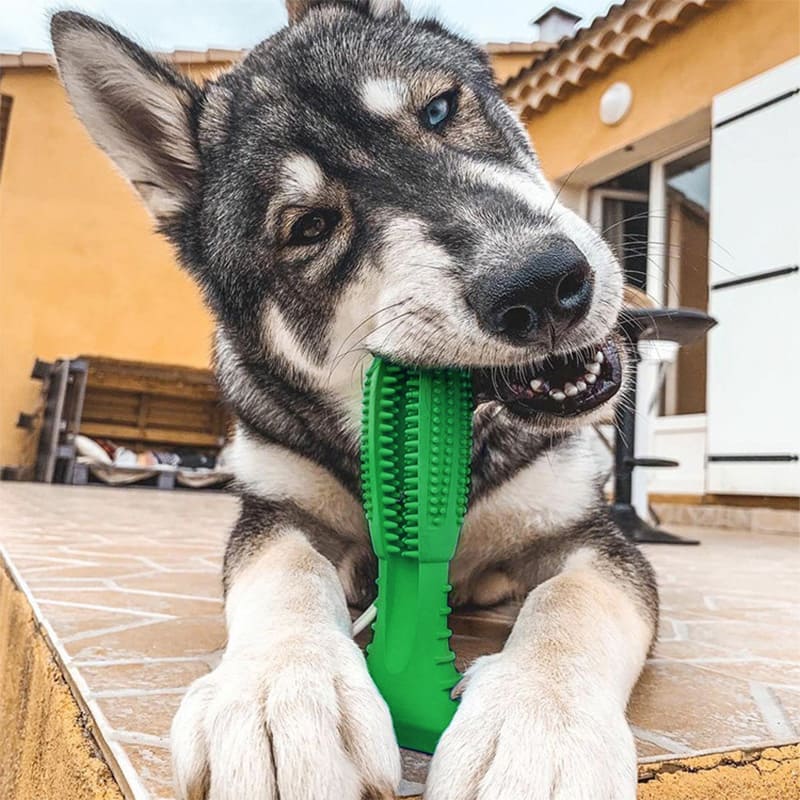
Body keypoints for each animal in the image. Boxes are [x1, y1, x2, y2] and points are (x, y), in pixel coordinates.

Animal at [53, 3, 660, 796]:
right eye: (310, 226)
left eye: (440, 109)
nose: (540, 283)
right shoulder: (278, 514)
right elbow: (288, 576)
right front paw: (279, 699)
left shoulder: (586, 534)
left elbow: (571, 602)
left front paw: (542, 727)